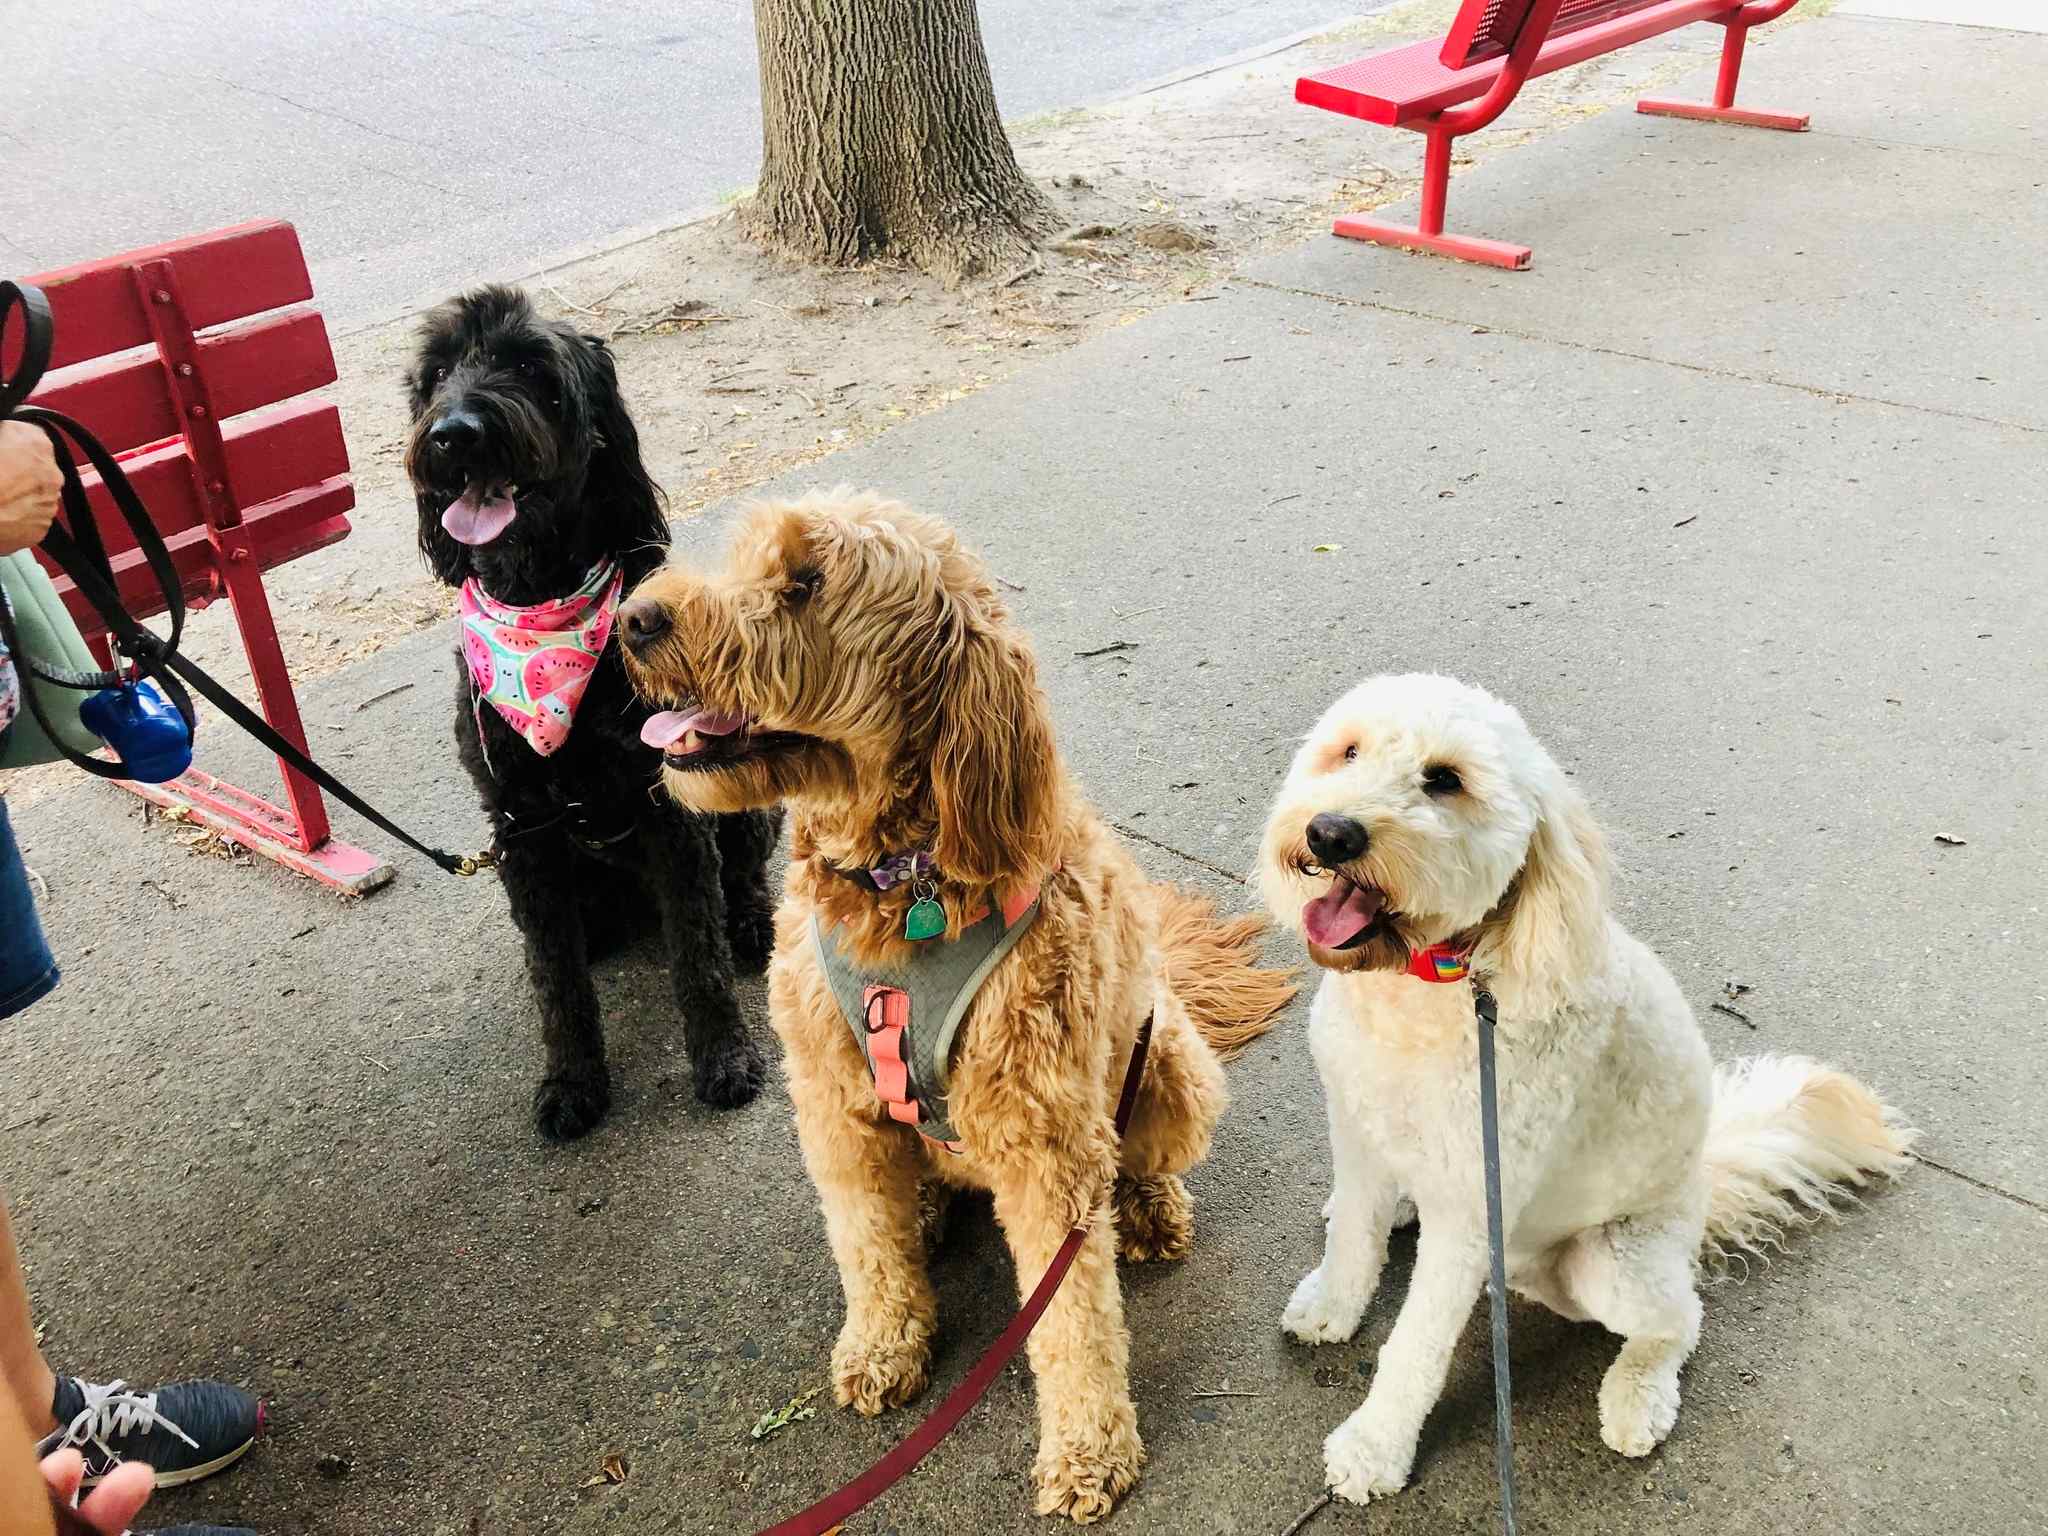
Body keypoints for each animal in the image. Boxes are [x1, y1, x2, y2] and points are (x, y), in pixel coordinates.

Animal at [405, 286, 774, 1146]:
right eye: (436, 373)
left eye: (530, 367)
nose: (451, 433)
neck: (539, 602)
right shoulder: (523, 830)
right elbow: (556, 979)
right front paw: (572, 1079)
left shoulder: (671, 805)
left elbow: (698, 950)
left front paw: (724, 1057)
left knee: (740, 878)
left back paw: (752, 924)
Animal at [622, 495, 1294, 1531]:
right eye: (741, 557)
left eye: (805, 582)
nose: (633, 619)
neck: (902, 885)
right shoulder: (831, 1101)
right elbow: (865, 1241)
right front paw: (884, 1341)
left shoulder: (1044, 1138)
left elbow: (1071, 1316)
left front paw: (1087, 1450)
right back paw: (930, 1205)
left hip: (1168, 1068)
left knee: (1136, 1155)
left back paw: (1144, 1206)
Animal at [1253, 679, 1908, 1507]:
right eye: (1348, 751)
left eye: (1445, 780)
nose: (1332, 833)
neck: (1432, 984)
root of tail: (1702, 1190)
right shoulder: (1359, 1131)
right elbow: (1353, 1243)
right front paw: (1334, 1306)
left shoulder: (1471, 1207)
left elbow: (1416, 1346)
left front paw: (1375, 1448)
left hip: (1613, 1263)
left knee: (1680, 1318)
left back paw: (1637, 1396)